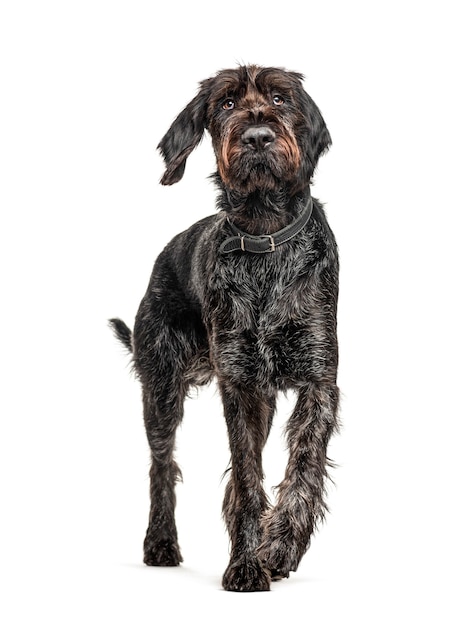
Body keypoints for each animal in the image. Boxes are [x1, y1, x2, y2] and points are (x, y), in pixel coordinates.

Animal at [109, 63, 340, 588]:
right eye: (227, 104)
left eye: (279, 99)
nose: (256, 137)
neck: (266, 234)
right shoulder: (239, 384)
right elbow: (247, 477)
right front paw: (245, 565)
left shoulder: (319, 380)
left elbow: (303, 468)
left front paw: (279, 547)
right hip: (161, 387)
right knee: (161, 465)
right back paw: (160, 543)